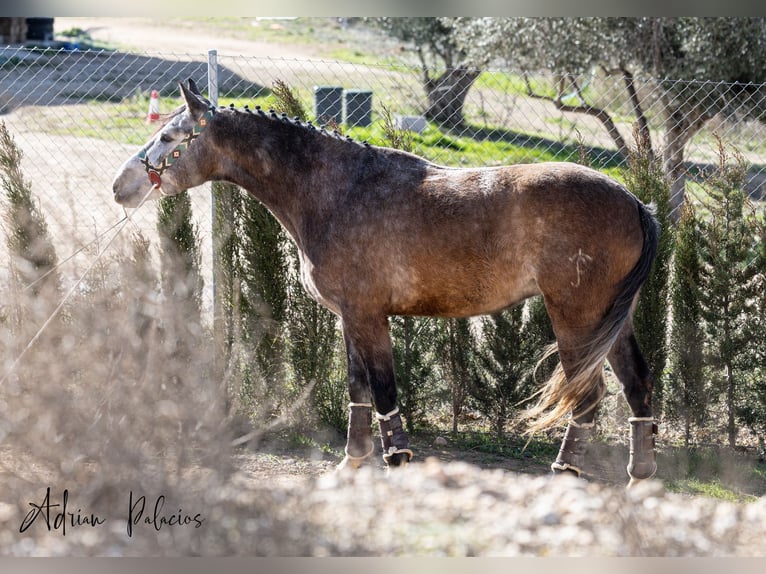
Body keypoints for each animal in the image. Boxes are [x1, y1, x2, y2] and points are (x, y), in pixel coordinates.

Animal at [112, 79, 660, 486]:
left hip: (577, 319)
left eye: (169, 137)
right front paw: (350, 464)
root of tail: (635, 202)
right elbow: (357, 390)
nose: (120, 187)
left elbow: (382, 393)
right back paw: (640, 478)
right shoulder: (352, 319)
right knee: (637, 386)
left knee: (588, 398)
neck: (339, 190)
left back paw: (565, 474)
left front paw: (394, 462)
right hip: (610, 322)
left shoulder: (368, 316)